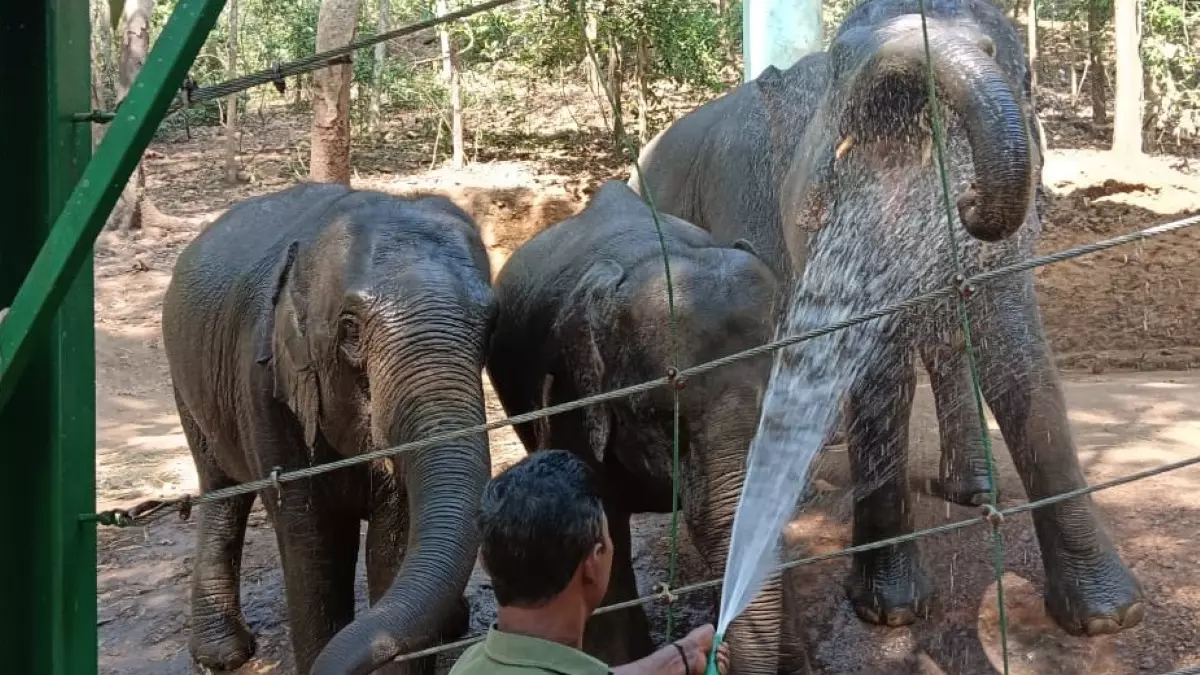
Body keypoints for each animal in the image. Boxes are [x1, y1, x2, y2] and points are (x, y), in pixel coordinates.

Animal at [161, 182, 495, 675]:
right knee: (221, 486)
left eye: (493, 323)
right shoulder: (262, 383)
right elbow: (313, 537)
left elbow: (398, 534)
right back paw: (223, 655)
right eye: (350, 329)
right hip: (186, 384)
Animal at [631, 0, 1144, 637]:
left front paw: (1109, 617)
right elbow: (874, 361)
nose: (969, 199)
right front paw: (890, 612)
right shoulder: (750, 201)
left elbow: (1014, 353)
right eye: (841, 67)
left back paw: (970, 488)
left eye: (1016, 72)